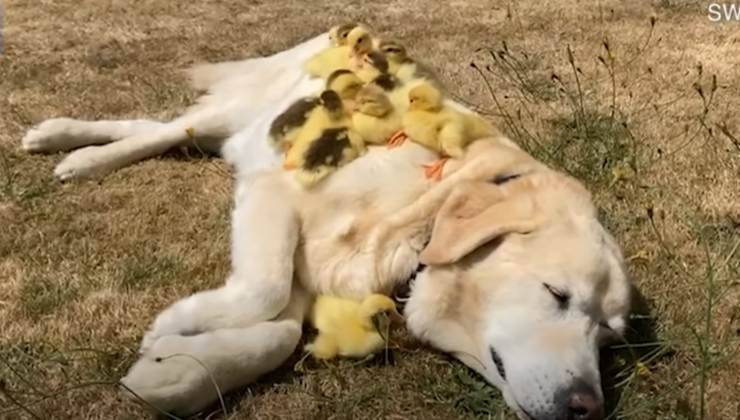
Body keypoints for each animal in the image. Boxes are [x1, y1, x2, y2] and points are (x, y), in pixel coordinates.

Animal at [26, 31, 632, 418]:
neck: (423, 217)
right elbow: (265, 294)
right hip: (245, 114)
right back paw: (76, 151)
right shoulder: (276, 194)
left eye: (608, 335)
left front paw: (176, 373)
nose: (588, 408)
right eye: (556, 293)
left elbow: (279, 333)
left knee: (161, 127)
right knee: (165, 129)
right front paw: (177, 326)